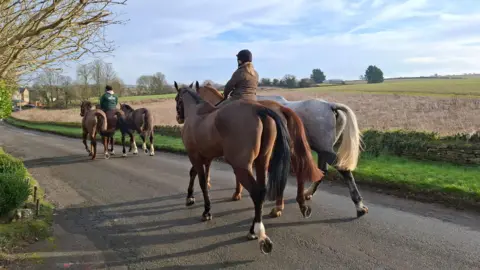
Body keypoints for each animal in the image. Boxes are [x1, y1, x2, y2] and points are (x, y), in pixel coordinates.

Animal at [173, 81, 322, 253]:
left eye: (176, 99)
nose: (178, 118)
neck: (198, 113)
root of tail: (261, 109)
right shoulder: (206, 157)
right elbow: (197, 175)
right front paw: (192, 197)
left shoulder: (195, 156)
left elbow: (201, 181)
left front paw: (205, 209)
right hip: (263, 160)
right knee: (265, 188)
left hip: (244, 165)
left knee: (257, 192)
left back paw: (259, 231)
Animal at [195, 81, 368, 217]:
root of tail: (330, 106)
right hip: (321, 149)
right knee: (323, 170)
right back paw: (308, 194)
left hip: (324, 149)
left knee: (343, 169)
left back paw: (359, 205)